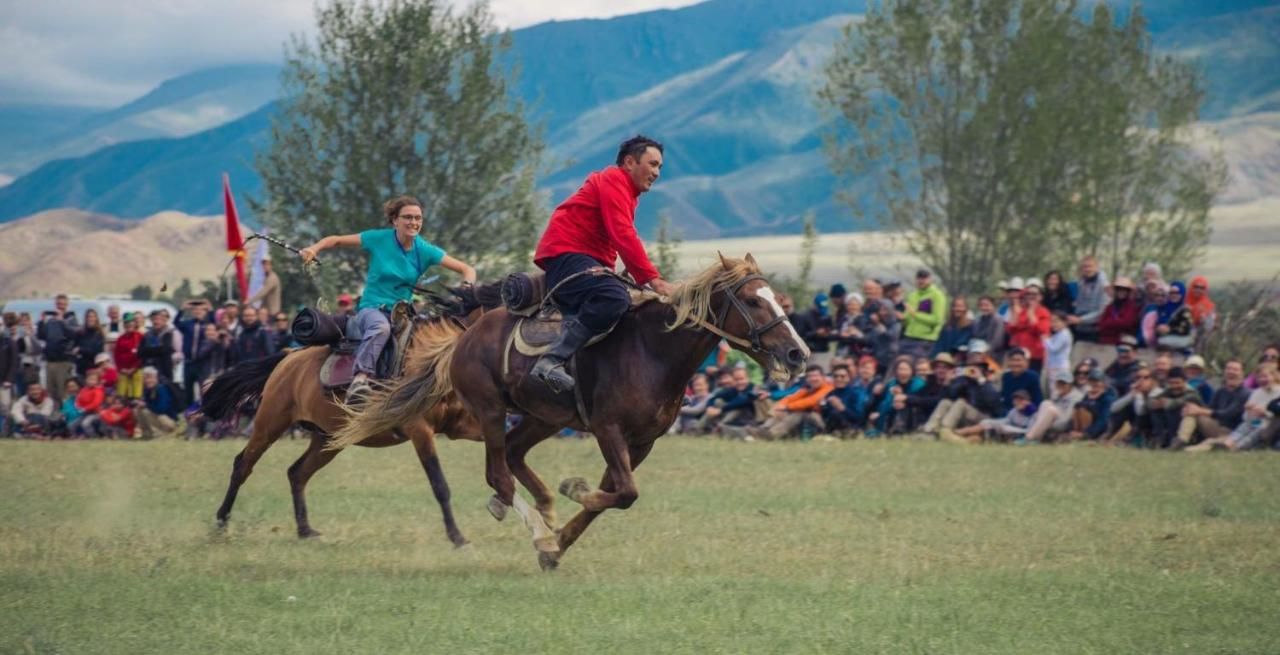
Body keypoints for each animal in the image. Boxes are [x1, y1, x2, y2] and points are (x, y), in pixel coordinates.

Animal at [199, 314, 481, 544]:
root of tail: (289, 357)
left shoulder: (464, 424)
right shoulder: (420, 430)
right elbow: (439, 484)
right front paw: (457, 536)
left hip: (328, 438)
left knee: (297, 473)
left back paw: (305, 530)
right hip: (269, 424)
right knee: (243, 465)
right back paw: (221, 523)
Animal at [330, 255, 808, 568]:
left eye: (776, 296)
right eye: (754, 300)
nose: (798, 353)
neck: (652, 350)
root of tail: (463, 337)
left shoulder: (642, 442)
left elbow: (614, 496)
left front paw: (562, 540)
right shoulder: (608, 429)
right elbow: (624, 493)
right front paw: (570, 497)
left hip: (542, 417)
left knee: (514, 457)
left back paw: (537, 513)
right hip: (490, 411)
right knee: (499, 472)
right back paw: (537, 528)